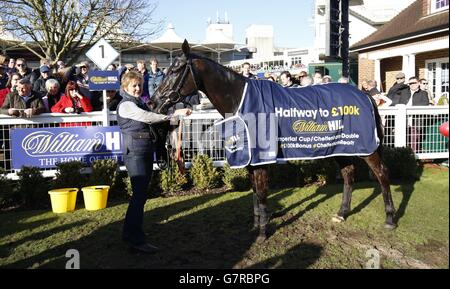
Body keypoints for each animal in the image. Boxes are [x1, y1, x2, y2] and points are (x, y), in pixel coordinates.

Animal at [153, 39, 396, 240]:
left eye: (175, 70)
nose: (154, 101)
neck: (242, 100)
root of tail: (365, 95)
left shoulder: (262, 159)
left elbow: (261, 194)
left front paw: (262, 233)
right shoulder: (250, 159)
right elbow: (254, 193)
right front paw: (256, 226)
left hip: (367, 148)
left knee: (382, 174)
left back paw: (390, 219)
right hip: (341, 147)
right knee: (348, 174)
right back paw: (342, 213)